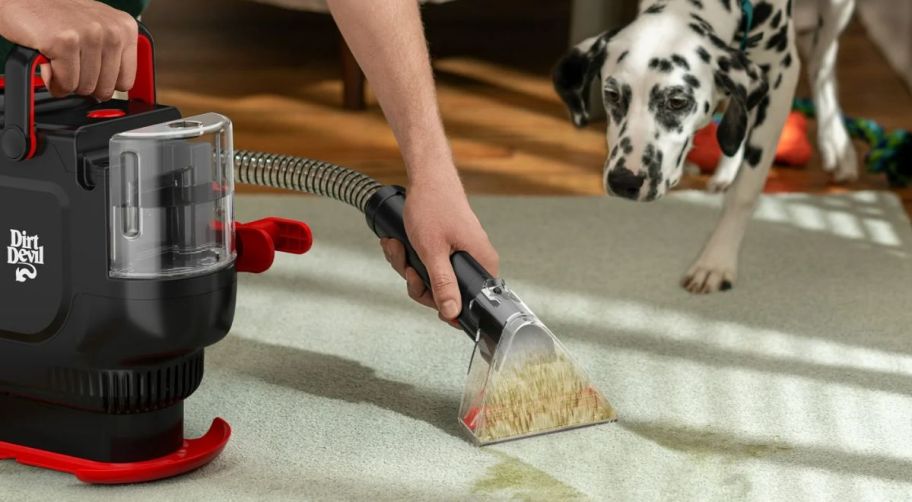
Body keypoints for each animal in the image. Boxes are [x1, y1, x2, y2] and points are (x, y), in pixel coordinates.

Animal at [552, 0, 860, 292]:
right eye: (612, 94)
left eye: (677, 101)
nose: (623, 181)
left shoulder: (781, 75)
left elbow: (745, 190)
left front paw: (716, 262)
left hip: (836, 13)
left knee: (821, 63)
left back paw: (837, 145)